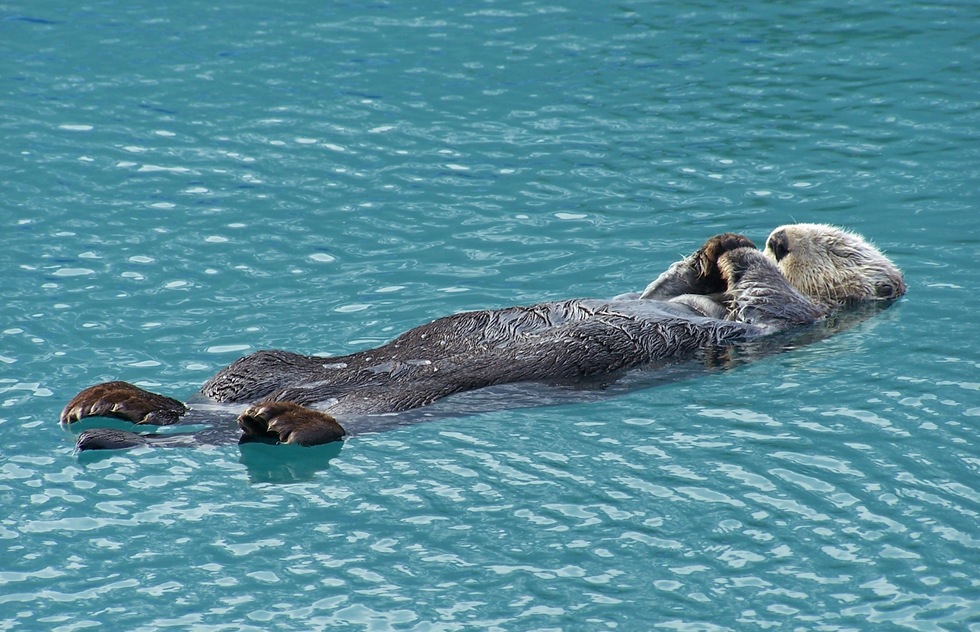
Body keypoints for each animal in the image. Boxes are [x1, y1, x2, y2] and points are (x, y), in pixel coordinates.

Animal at [59, 222, 904, 450]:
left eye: (836, 245)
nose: (780, 234)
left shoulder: (784, 325)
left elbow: (771, 304)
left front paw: (741, 254)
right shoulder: (667, 296)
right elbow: (654, 290)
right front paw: (711, 248)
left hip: (394, 402)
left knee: (321, 422)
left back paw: (286, 424)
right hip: (260, 363)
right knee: (208, 398)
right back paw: (116, 400)